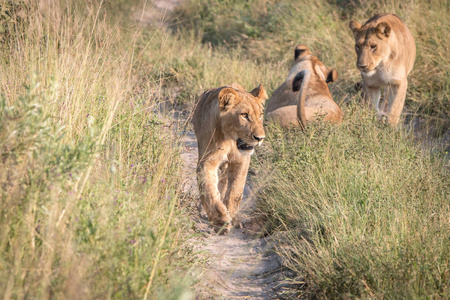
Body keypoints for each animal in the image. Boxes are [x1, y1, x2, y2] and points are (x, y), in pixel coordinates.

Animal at [191, 83, 268, 233]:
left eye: (260, 115)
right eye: (244, 115)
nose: (260, 138)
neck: (230, 139)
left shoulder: (241, 160)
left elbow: (235, 190)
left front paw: (233, 217)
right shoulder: (207, 160)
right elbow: (208, 189)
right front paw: (220, 220)